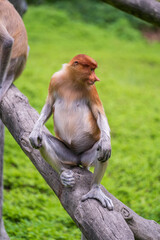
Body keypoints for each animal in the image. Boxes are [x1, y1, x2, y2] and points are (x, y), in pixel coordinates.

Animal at [29, 54, 114, 210]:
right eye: (91, 69)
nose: (96, 78)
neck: (73, 80)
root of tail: (78, 158)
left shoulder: (91, 89)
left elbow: (99, 114)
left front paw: (106, 142)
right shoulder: (54, 80)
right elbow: (49, 105)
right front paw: (34, 132)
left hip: (87, 157)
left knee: (101, 151)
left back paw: (95, 189)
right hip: (68, 155)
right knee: (42, 140)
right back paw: (64, 174)